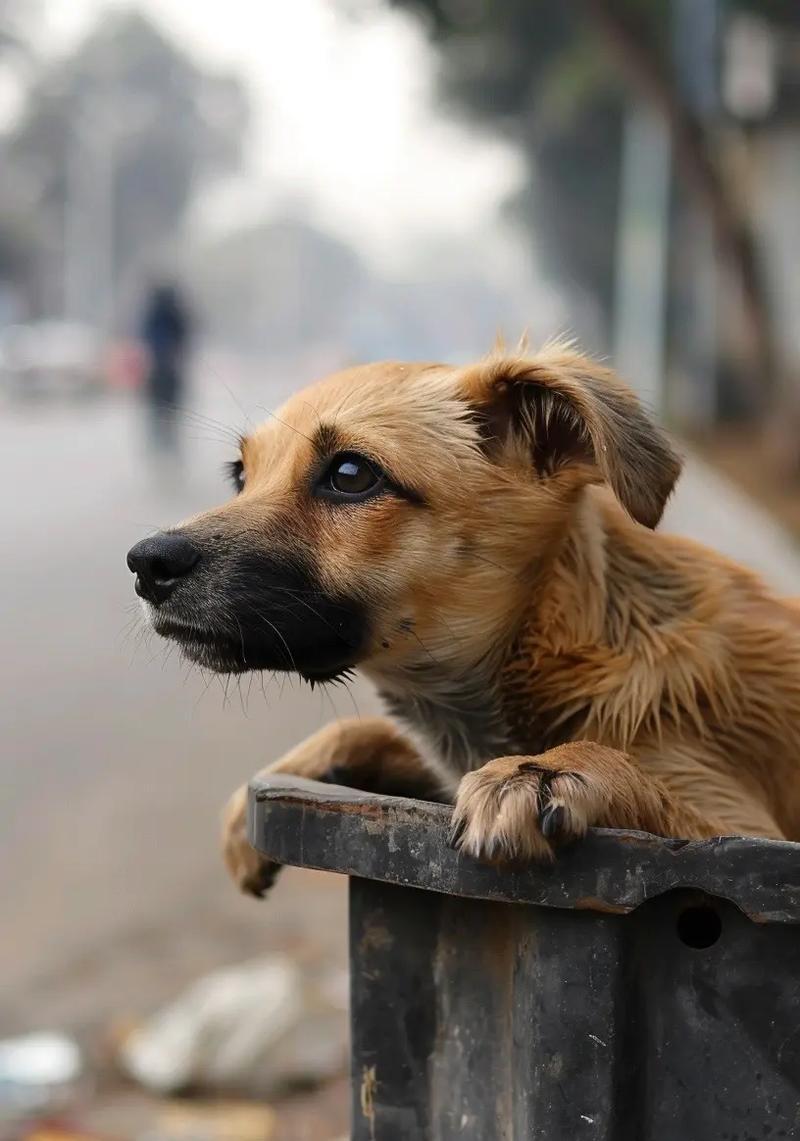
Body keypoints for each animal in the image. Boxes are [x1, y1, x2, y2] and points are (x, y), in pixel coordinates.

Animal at [127, 342, 798, 894]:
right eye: (241, 476)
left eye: (350, 474)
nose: (144, 565)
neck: (553, 642)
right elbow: (363, 729)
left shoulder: (740, 834)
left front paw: (547, 771)